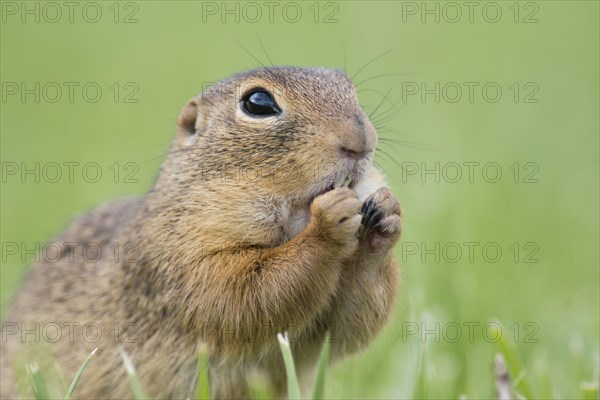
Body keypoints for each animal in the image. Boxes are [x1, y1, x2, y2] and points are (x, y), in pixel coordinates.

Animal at [2, 67, 404, 398]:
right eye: (258, 103)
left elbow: (342, 329)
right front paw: (328, 220)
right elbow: (242, 296)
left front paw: (386, 212)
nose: (361, 140)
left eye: (349, 87)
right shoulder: (179, 256)